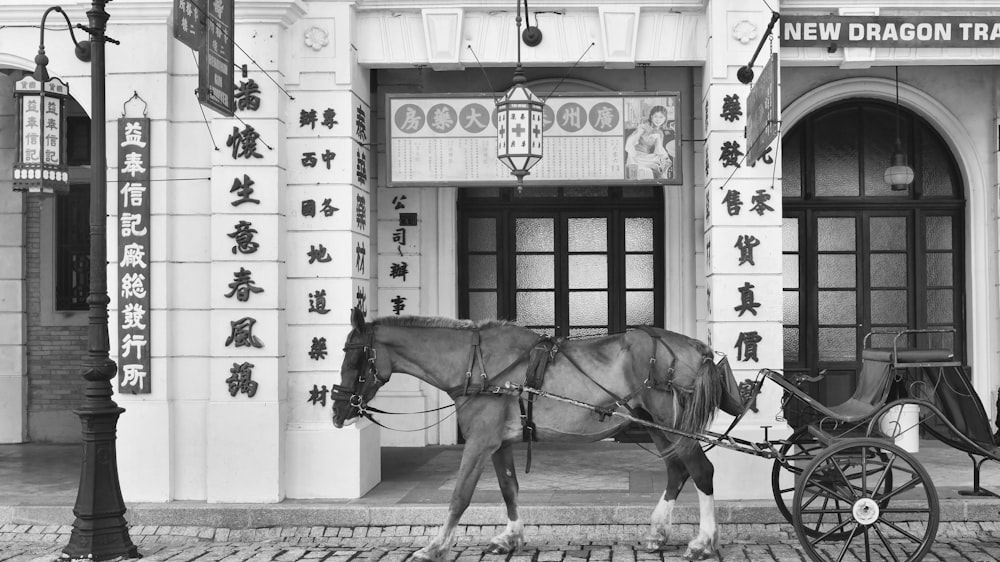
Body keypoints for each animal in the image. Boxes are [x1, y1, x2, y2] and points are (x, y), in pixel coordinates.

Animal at [332, 308, 748, 556]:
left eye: (354, 357)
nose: (337, 412)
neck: (477, 365)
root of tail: (696, 346)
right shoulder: (498, 443)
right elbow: (508, 487)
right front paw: (510, 536)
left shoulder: (480, 442)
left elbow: (460, 495)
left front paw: (435, 546)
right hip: (656, 426)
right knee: (677, 471)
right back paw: (659, 533)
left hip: (673, 426)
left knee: (701, 471)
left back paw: (703, 542)